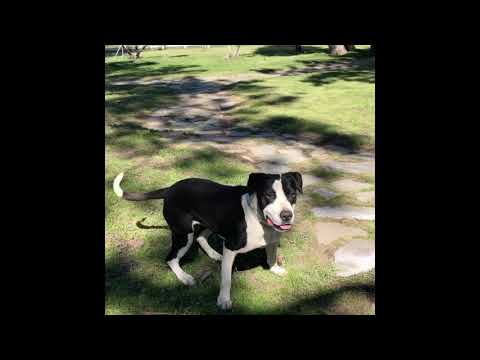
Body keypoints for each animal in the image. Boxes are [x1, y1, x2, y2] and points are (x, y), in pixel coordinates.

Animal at [113, 172, 302, 310]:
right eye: (269, 195)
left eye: (292, 195)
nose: (286, 216)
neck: (258, 218)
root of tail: (169, 189)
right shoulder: (231, 247)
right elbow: (226, 279)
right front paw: (223, 300)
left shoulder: (272, 241)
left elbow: (271, 256)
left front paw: (275, 269)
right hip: (184, 234)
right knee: (171, 258)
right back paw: (185, 277)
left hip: (210, 222)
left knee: (201, 237)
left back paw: (215, 255)